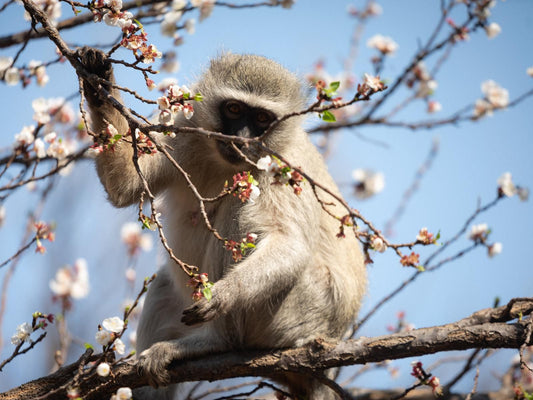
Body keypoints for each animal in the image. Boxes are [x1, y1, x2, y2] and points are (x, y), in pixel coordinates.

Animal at [79, 47, 368, 400]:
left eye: (262, 120)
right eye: (234, 109)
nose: (240, 138)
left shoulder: (279, 165)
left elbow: (292, 244)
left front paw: (223, 294)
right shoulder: (187, 129)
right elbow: (127, 185)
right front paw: (98, 80)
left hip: (300, 311)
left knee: (238, 208)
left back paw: (215, 342)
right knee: (163, 285)